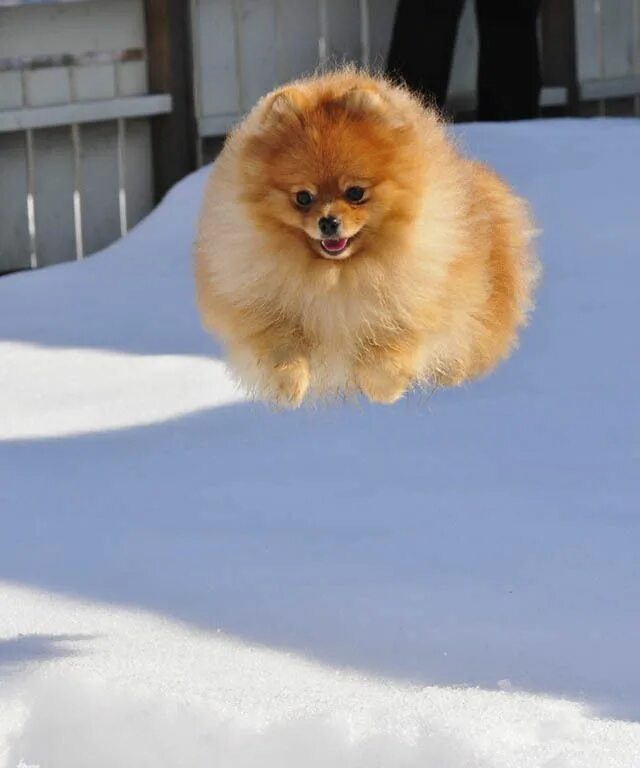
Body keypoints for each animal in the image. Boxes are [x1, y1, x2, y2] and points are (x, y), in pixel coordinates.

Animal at [192, 71, 536, 408]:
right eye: (303, 198)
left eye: (355, 193)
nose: (328, 222)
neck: (336, 276)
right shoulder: (260, 300)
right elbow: (281, 344)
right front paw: (287, 387)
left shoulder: (413, 298)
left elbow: (391, 346)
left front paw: (382, 389)